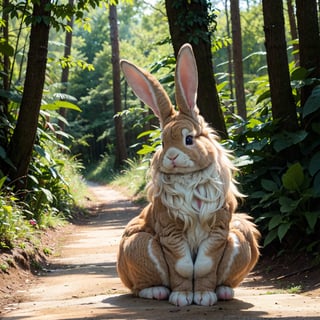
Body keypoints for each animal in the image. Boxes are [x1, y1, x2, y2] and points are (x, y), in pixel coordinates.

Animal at [117, 43, 260, 306]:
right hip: (137, 245)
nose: (172, 156)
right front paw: (183, 297)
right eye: (163, 142)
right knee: (139, 287)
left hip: (241, 233)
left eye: (189, 139)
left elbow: (204, 264)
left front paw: (203, 297)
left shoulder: (218, 229)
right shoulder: (170, 230)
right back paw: (157, 292)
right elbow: (183, 265)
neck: (189, 179)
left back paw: (224, 292)